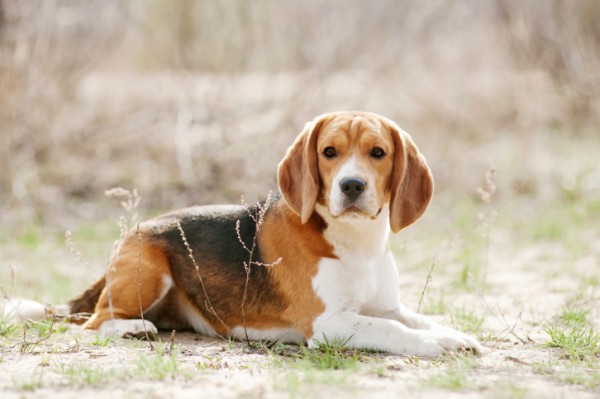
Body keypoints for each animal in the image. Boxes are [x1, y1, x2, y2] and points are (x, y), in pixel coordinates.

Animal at [7, 111, 480, 356]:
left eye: (377, 153)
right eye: (329, 152)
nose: (352, 186)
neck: (355, 242)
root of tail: (131, 233)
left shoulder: (385, 306)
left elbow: (411, 319)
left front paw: (451, 334)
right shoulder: (329, 324)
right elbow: (394, 331)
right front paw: (435, 343)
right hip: (147, 271)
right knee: (92, 321)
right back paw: (131, 329)